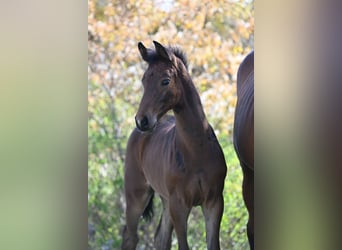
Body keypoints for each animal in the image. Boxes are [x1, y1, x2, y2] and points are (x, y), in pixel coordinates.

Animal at [121, 41, 228, 250]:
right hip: (136, 194)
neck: (196, 152)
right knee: (130, 237)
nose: (142, 120)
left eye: (165, 81)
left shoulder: (214, 202)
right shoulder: (179, 205)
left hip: (164, 199)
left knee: (160, 238)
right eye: (144, 80)